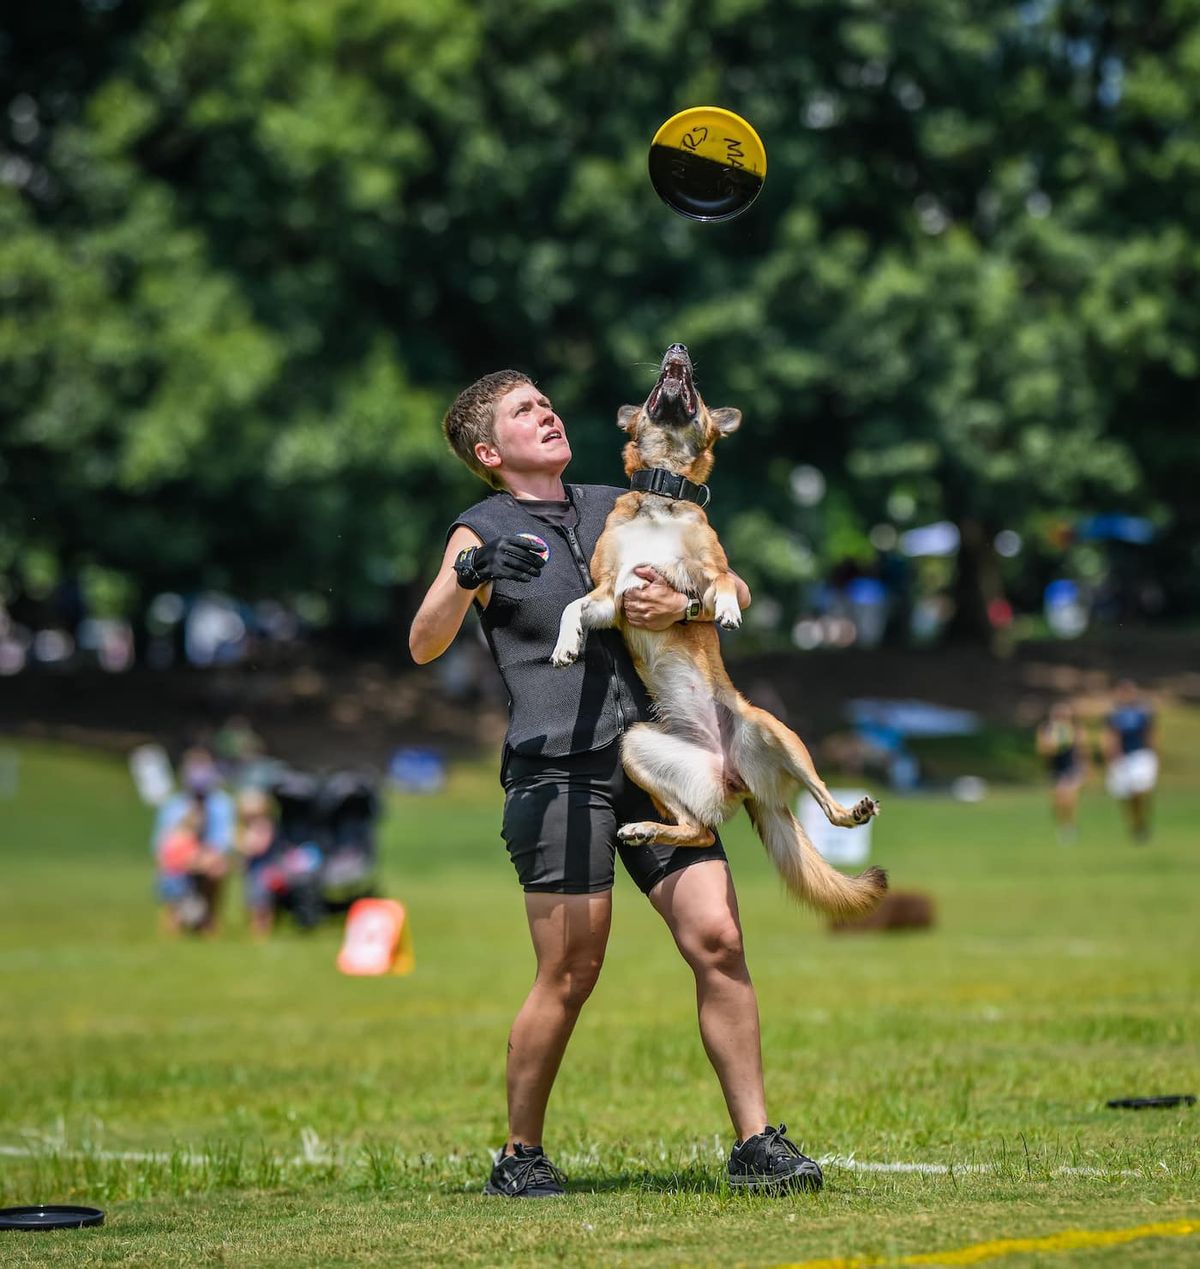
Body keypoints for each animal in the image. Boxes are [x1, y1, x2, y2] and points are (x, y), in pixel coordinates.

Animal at [553, 347, 877, 918]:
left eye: (698, 395)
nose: (677, 349)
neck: (661, 492)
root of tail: (740, 782)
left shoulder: (704, 570)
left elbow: (723, 581)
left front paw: (725, 610)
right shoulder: (610, 595)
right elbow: (574, 607)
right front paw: (565, 644)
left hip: (775, 732)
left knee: (821, 800)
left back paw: (850, 809)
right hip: (640, 749)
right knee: (698, 830)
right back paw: (644, 828)